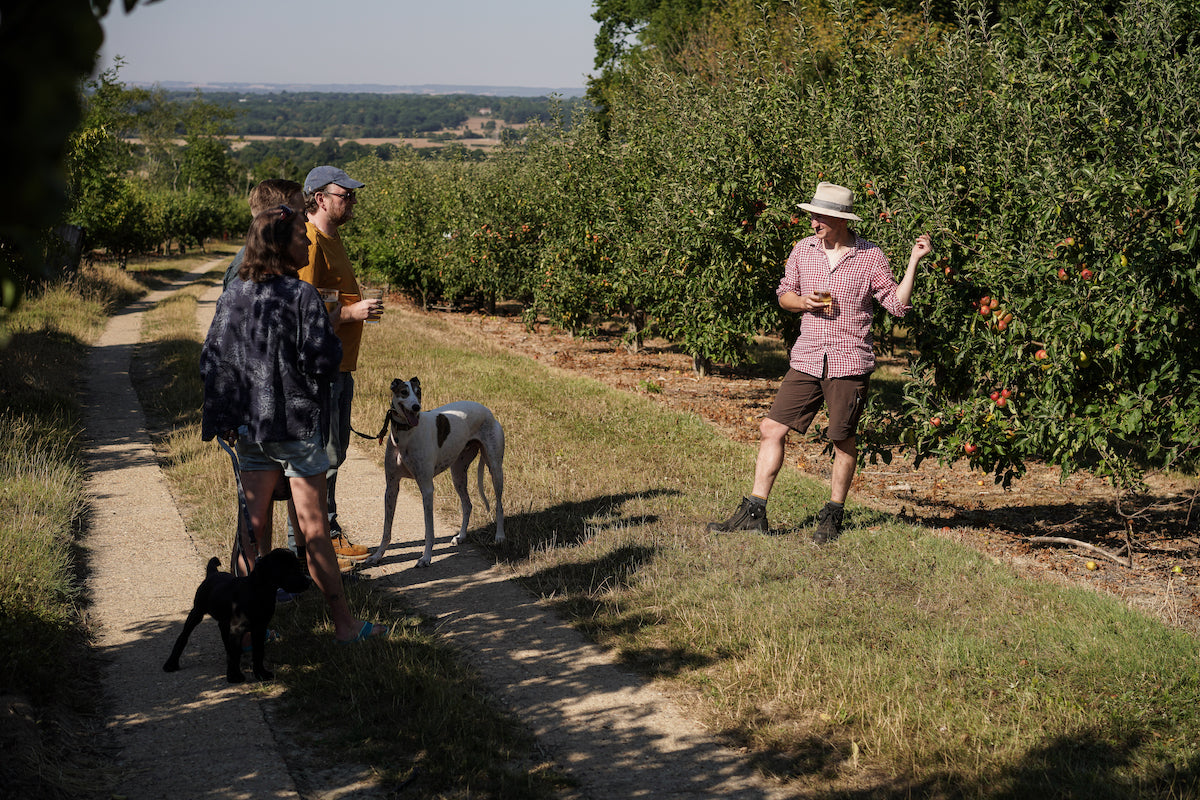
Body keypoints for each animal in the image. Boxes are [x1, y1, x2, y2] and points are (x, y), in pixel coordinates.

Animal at [162, 551, 312, 681]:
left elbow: (258, 652)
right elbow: (237, 653)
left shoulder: (260, 628)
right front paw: (234, 676)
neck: (259, 592)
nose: (308, 582)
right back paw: (171, 663)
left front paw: (261, 674)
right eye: (288, 569)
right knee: (183, 637)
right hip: (197, 612)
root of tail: (212, 573)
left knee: (226, 641)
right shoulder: (238, 629)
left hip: (223, 622)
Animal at [360, 376, 501, 568]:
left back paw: (500, 536)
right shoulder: (391, 487)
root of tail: (487, 411)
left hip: (495, 469)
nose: (416, 407)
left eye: (418, 392)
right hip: (458, 473)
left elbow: (429, 530)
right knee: (467, 504)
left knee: (499, 505)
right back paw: (461, 536)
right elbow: (386, 529)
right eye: (404, 392)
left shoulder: (426, 488)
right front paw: (377, 556)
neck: (405, 435)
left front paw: (425, 558)